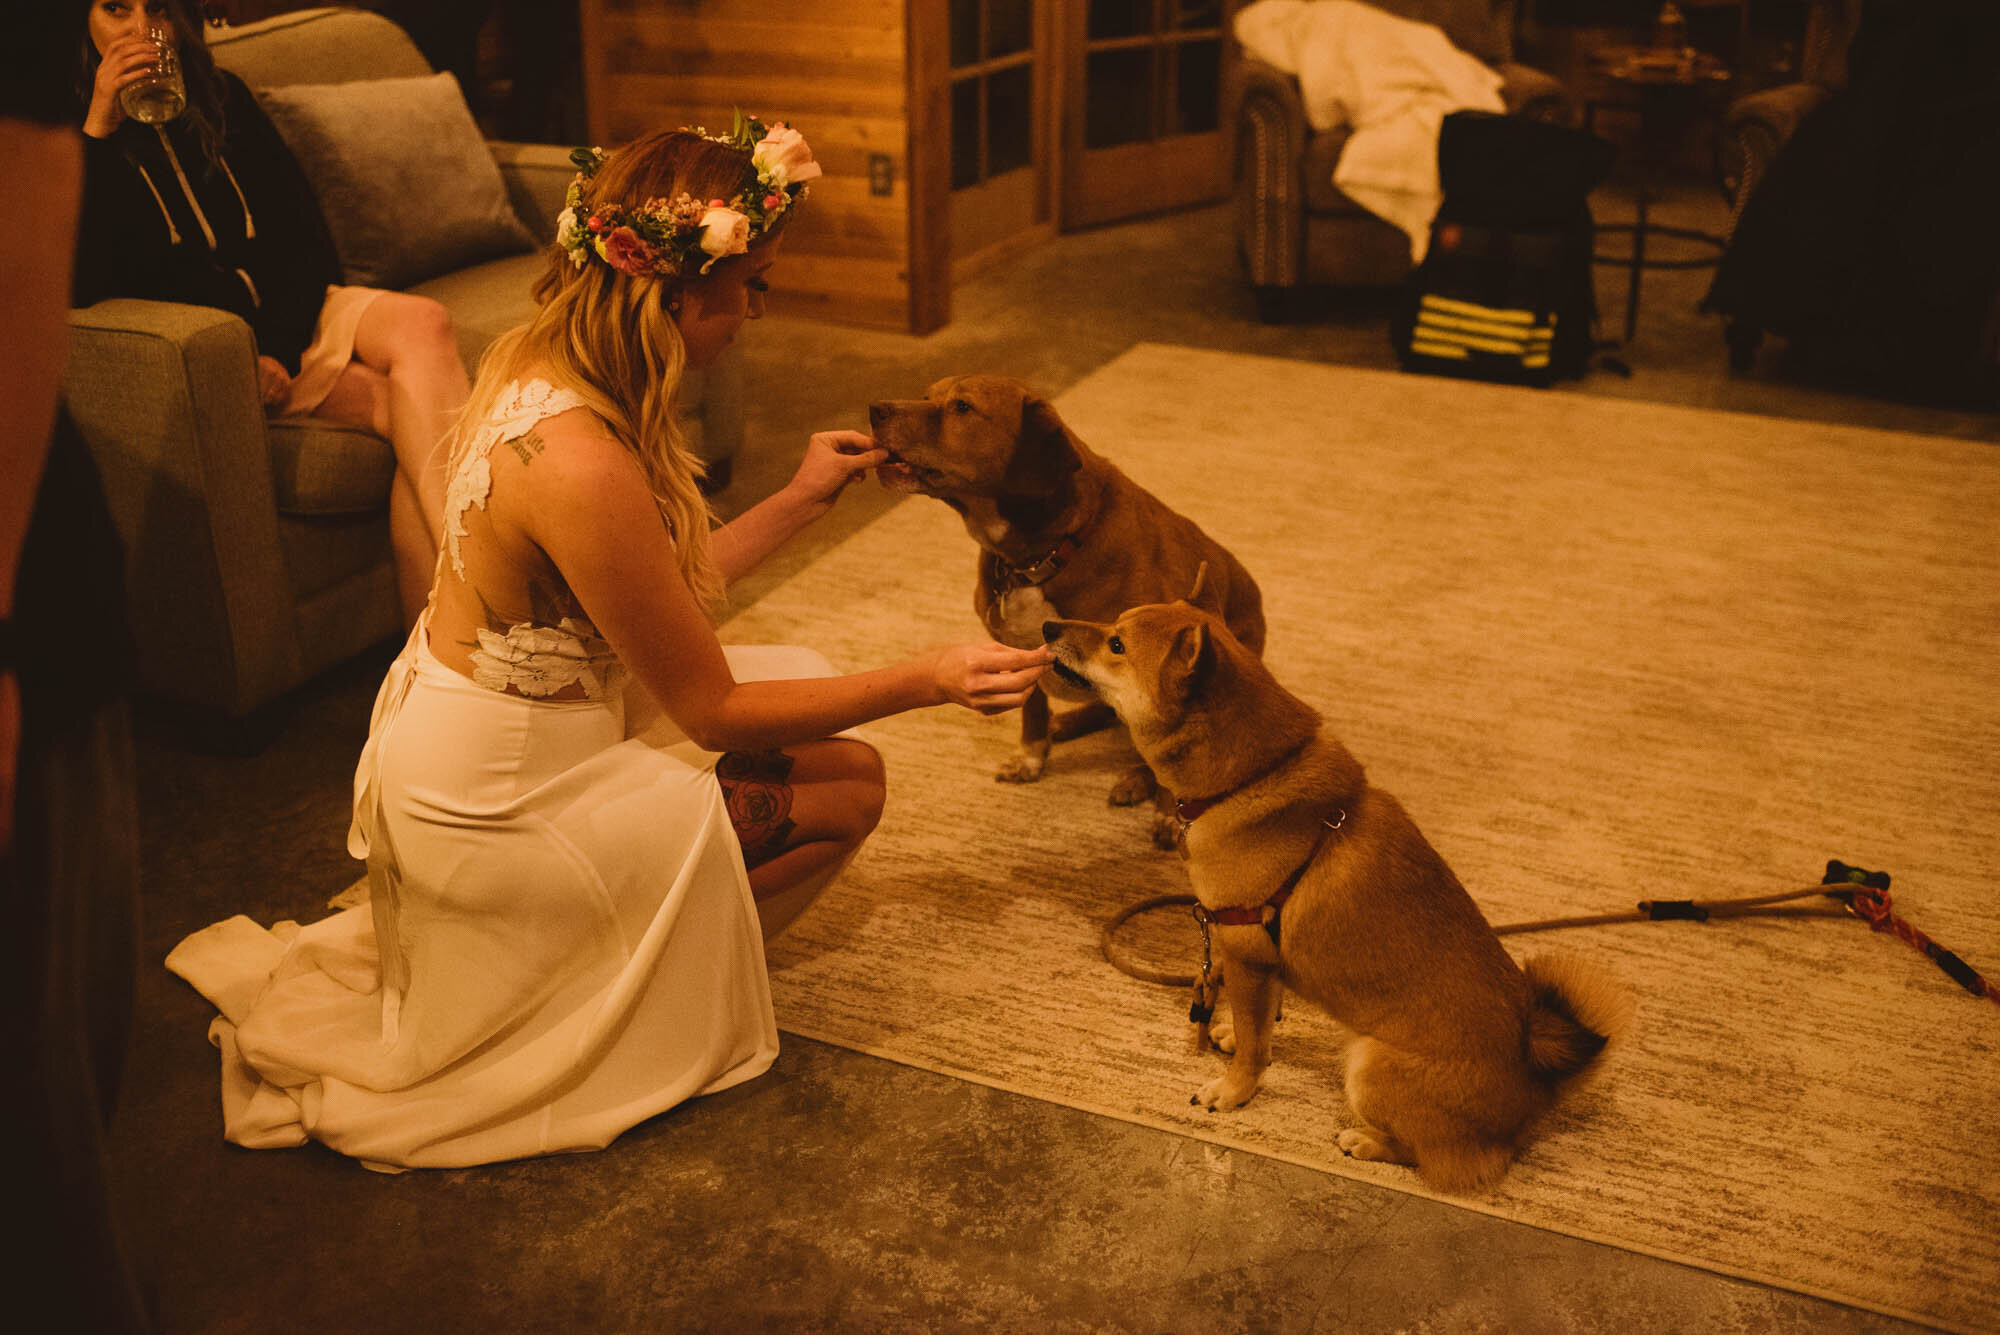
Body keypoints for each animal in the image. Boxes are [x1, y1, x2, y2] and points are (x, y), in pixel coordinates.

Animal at [1040, 575, 1632, 1191]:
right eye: (1113, 625)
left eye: (1117, 644)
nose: (1048, 626)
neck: (1254, 776)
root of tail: (1538, 1087)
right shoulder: (1262, 955)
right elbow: (1261, 1025)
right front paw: (1237, 1036)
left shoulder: (1245, 951)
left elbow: (1253, 1050)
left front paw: (1234, 1091)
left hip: (1370, 1064)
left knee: (1435, 1159)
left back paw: (1366, 1141)